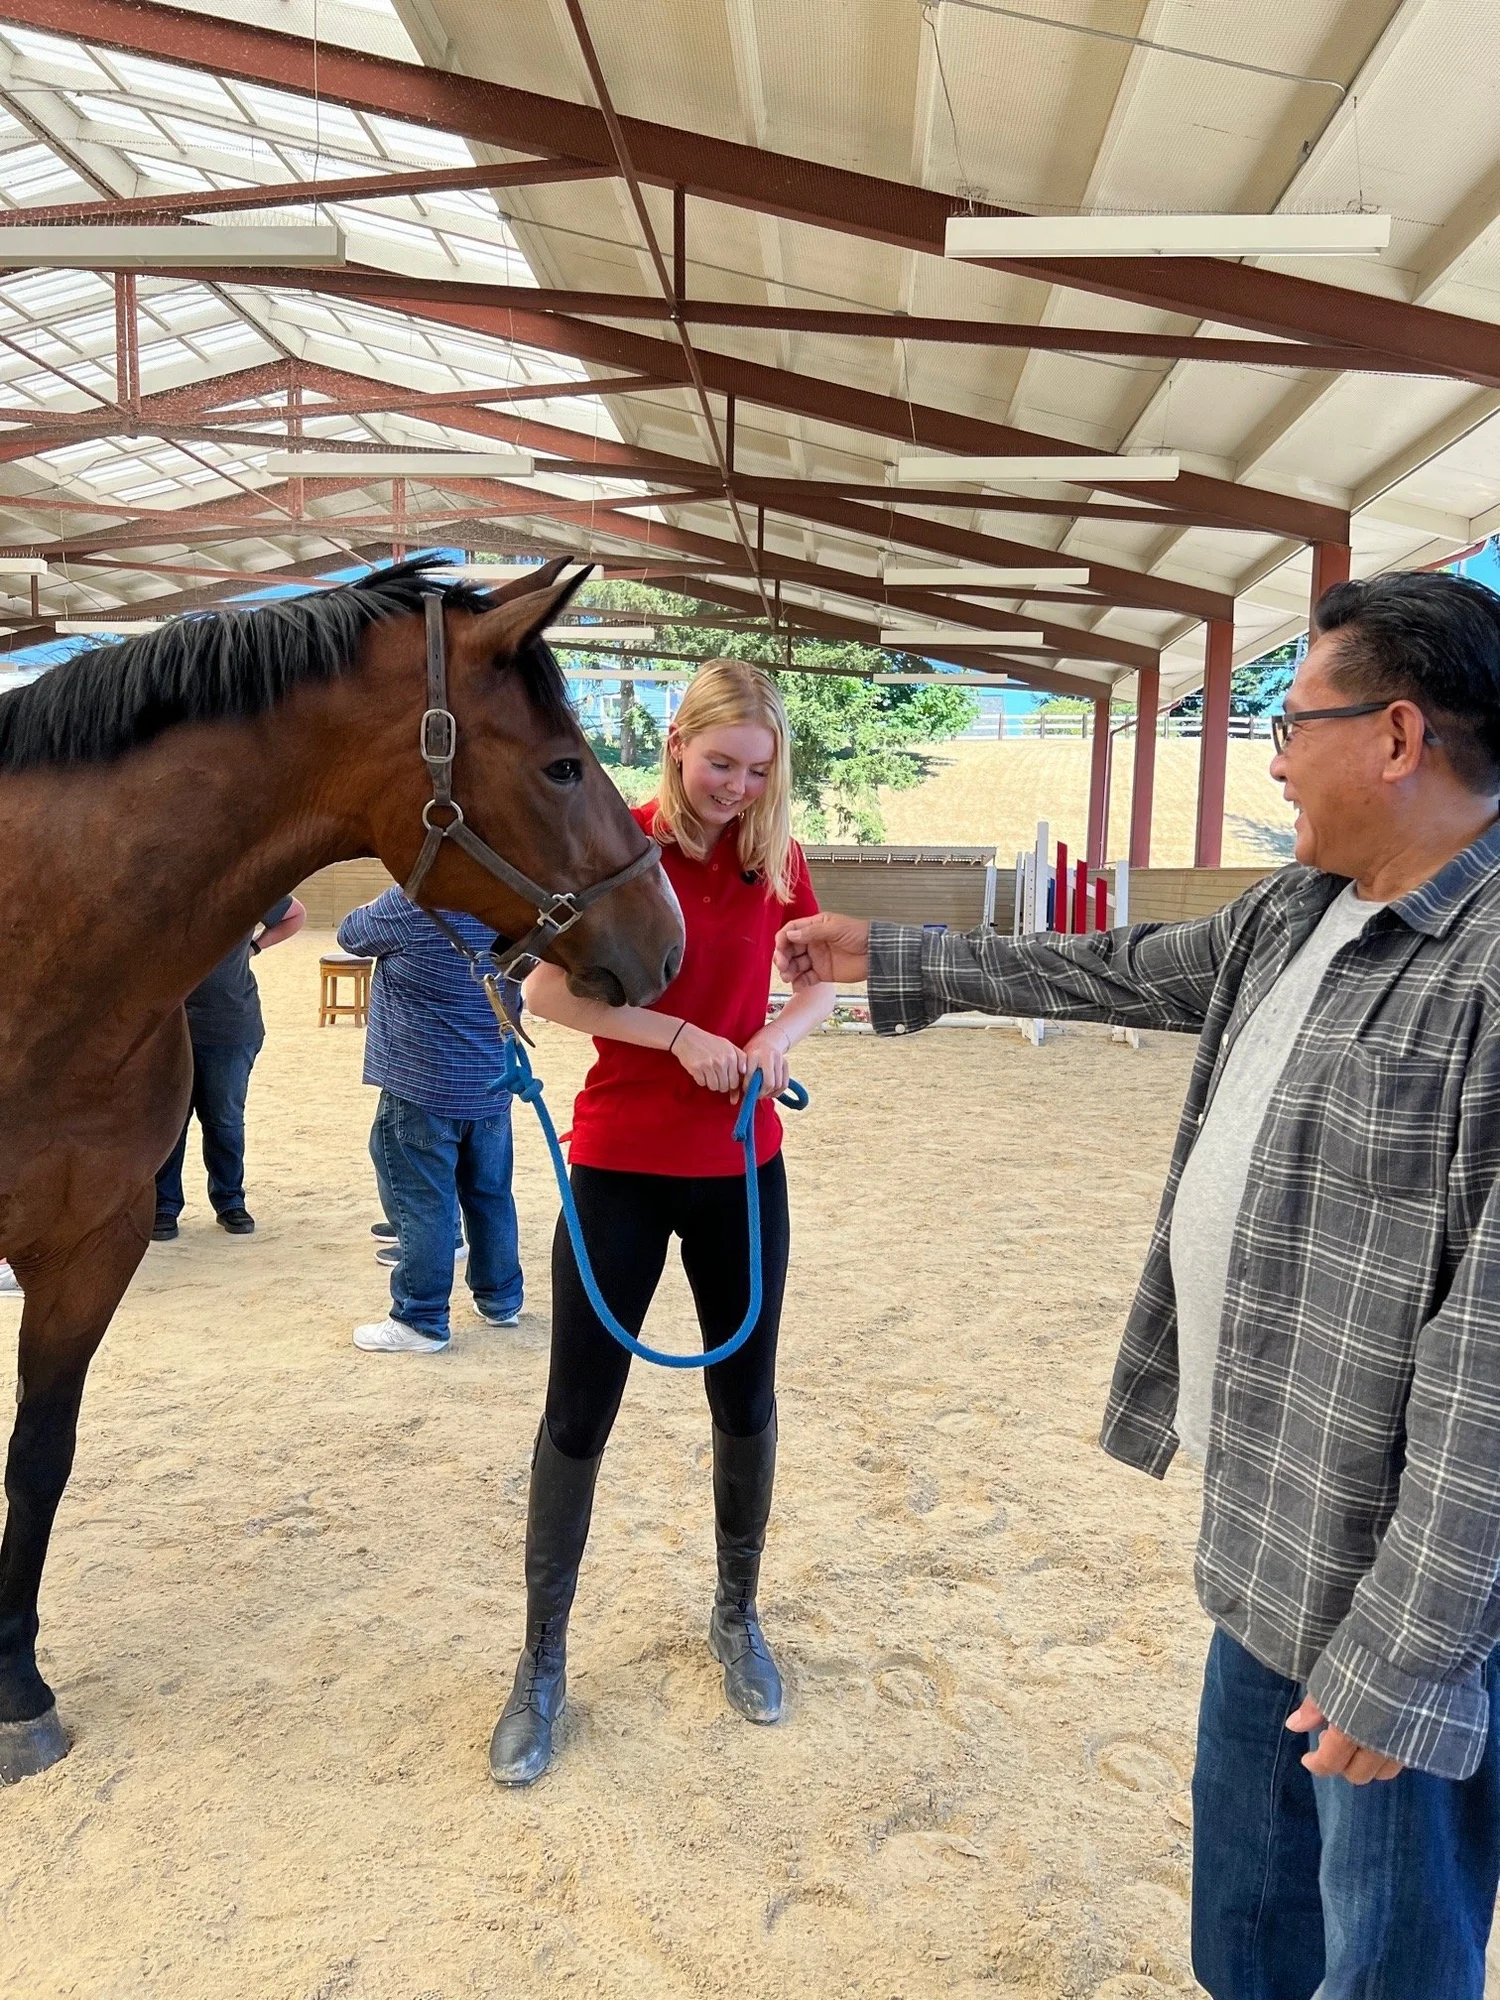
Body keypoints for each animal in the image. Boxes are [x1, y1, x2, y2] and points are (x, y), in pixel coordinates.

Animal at [0, 555, 684, 1783]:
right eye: (563, 763)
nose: (668, 940)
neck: (34, 955)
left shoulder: (90, 1251)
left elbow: (39, 1456)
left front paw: (17, 1688)